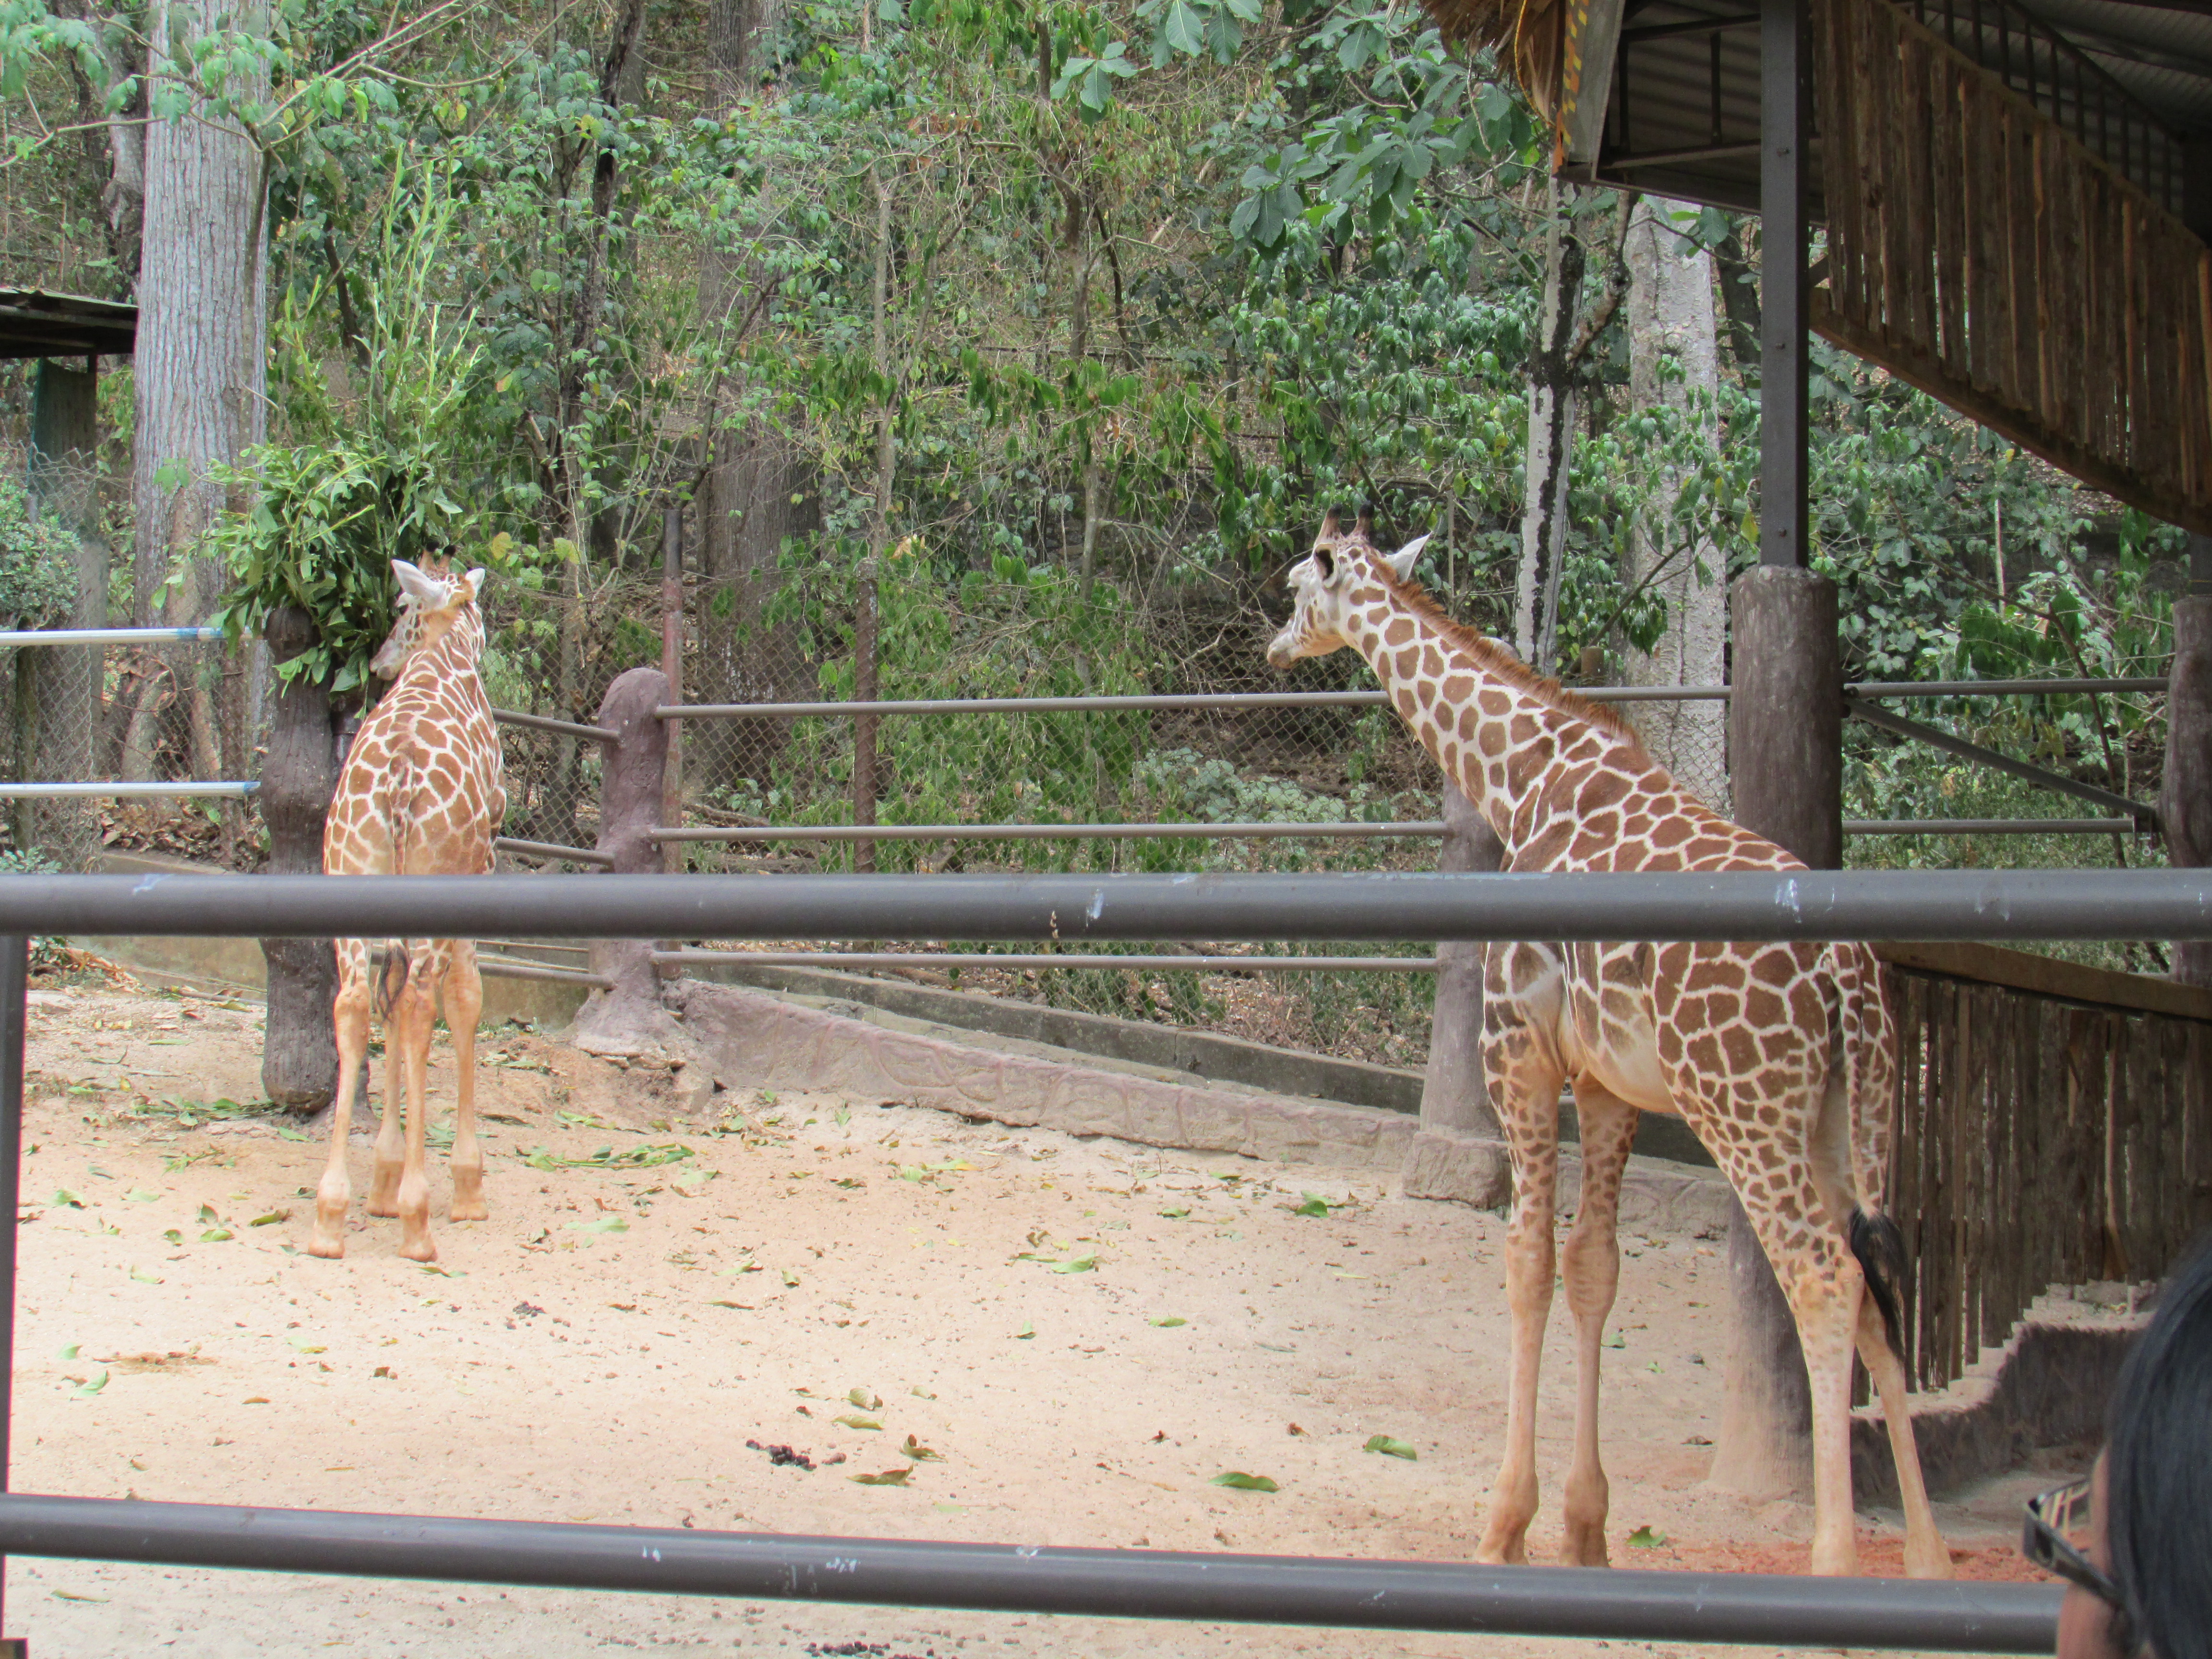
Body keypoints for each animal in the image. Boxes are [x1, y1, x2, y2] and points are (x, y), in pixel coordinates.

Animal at [312, 559, 506, 1256]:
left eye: (400, 610)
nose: (378, 660)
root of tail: (399, 782)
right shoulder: (485, 857)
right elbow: (467, 997)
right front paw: (466, 1187)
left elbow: (388, 1005)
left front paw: (383, 1180)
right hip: (433, 879)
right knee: (422, 1003)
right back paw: (420, 1221)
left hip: (347, 875)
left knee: (355, 1004)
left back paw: (330, 1215)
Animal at [1274, 506, 1947, 1584]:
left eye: (1300, 584)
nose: (1275, 644)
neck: (1521, 778)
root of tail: (1844, 975)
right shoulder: (1608, 1085)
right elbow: (1595, 1266)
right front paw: (1585, 1530)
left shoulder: (1519, 1047)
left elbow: (1527, 1261)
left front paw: (1503, 1526)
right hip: (1850, 1115)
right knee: (1879, 1284)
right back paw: (1926, 1562)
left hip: (1745, 1110)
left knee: (1823, 1277)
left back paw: (1833, 1563)